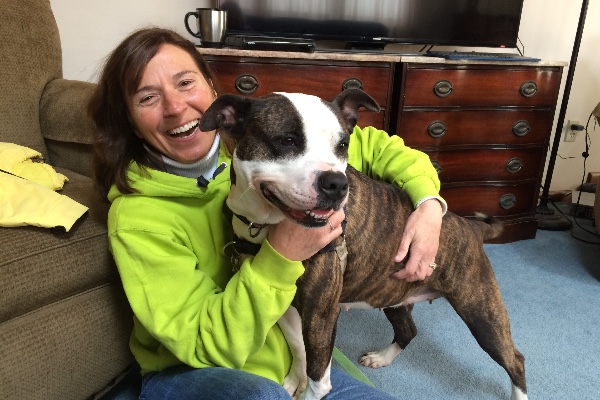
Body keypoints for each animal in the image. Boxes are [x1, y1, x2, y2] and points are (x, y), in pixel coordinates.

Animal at [200, 89, 527, 400]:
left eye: (343, 145)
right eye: (287, 140)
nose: (335, 183)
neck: (266, 223)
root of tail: (470, 226)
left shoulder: (320, 314)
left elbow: (319, 377)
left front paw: (307, 387)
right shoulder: (288, 306)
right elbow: (298, 347)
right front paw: (295, 378)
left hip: (481, 312)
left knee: (515, 360)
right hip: (394, 294)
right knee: (408, 330)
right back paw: (382, 358)